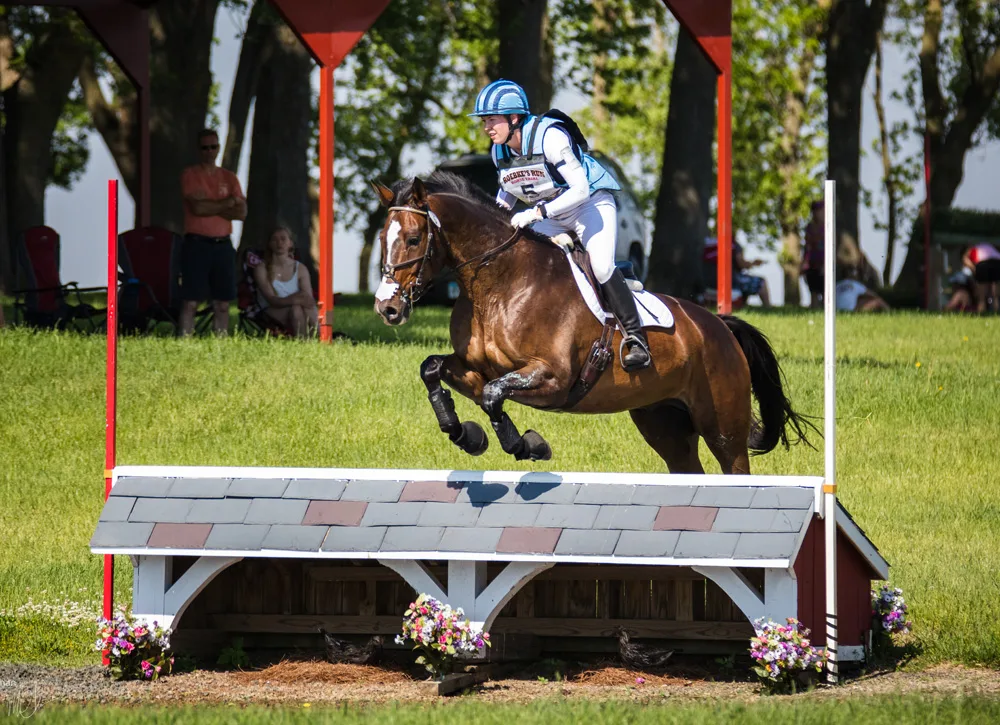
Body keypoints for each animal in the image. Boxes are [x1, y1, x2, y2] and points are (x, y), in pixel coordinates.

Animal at [368, 171, 812, 476]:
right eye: (381, 240)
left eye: (413, 239)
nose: (387, 309)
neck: (497, 286)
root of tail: (718, 325)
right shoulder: (475, 367)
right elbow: (435, 370)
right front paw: (467, 435)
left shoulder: (553, 377)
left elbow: (494, 395)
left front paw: (527, 446)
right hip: (663, 422)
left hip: (723, 427)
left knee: (733, 466)